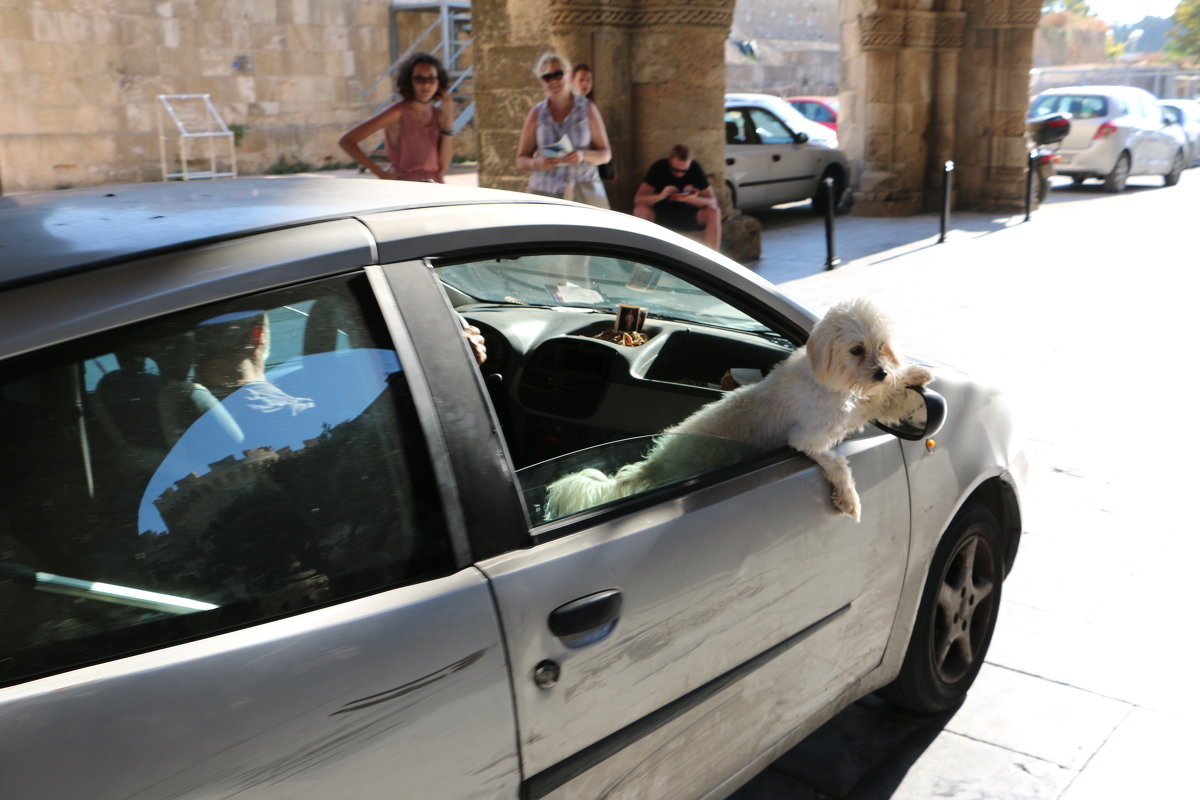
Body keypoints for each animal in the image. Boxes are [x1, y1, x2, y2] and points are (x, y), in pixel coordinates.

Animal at [547, 298, 936, 520]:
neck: (828, 379)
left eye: (882, 346)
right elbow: (839, 463)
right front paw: (849, 500)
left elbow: (872, 400)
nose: (881, 372)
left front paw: (911, 375)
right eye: (856, 349)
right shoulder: (809, 439)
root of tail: (654, 464)